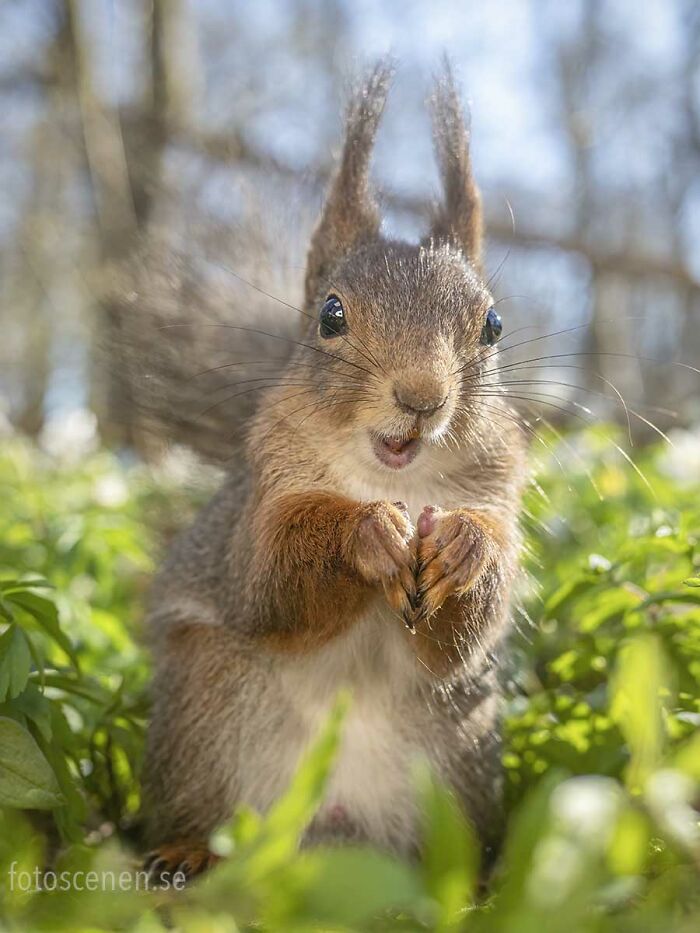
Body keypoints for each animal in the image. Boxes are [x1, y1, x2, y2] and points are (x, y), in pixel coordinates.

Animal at [129, 61, 527, 881]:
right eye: (331, 315)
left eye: (494, 325)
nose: (422, 398)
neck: (393, 477)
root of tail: (325, 828)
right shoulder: (260, 502)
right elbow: (274, 580)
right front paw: (365, 533)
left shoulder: (502, 487)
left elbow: (470, 625)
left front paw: (465, 548)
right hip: (206, 711)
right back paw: (185, 849)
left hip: (460, 752)